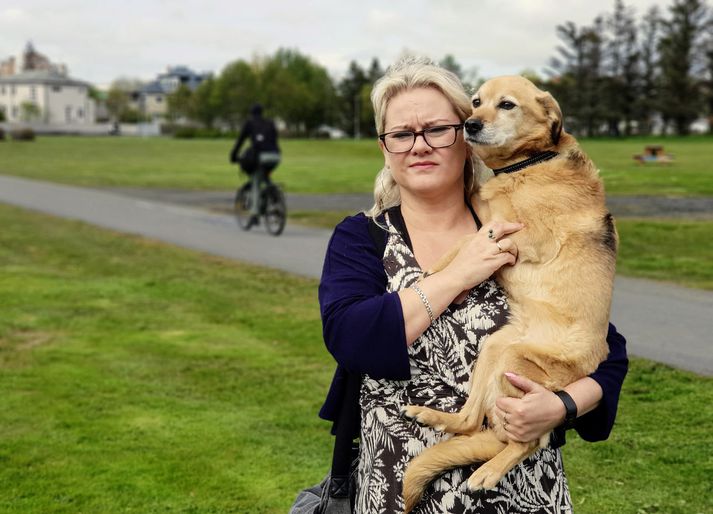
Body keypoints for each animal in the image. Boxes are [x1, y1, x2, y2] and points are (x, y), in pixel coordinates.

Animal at [400, 74, 616, 510]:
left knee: (529, 440)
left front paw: (437, 269)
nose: (470, 125)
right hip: (496, 348)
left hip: (517, 364)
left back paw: (488, 472)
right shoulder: (490, 217)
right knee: (470, 421)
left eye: (507, 105)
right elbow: (471, 229)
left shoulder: (521, 237)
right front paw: (442, 273)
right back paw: (436, 418)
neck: (530, 163)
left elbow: (470, 239)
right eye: (476, 101)